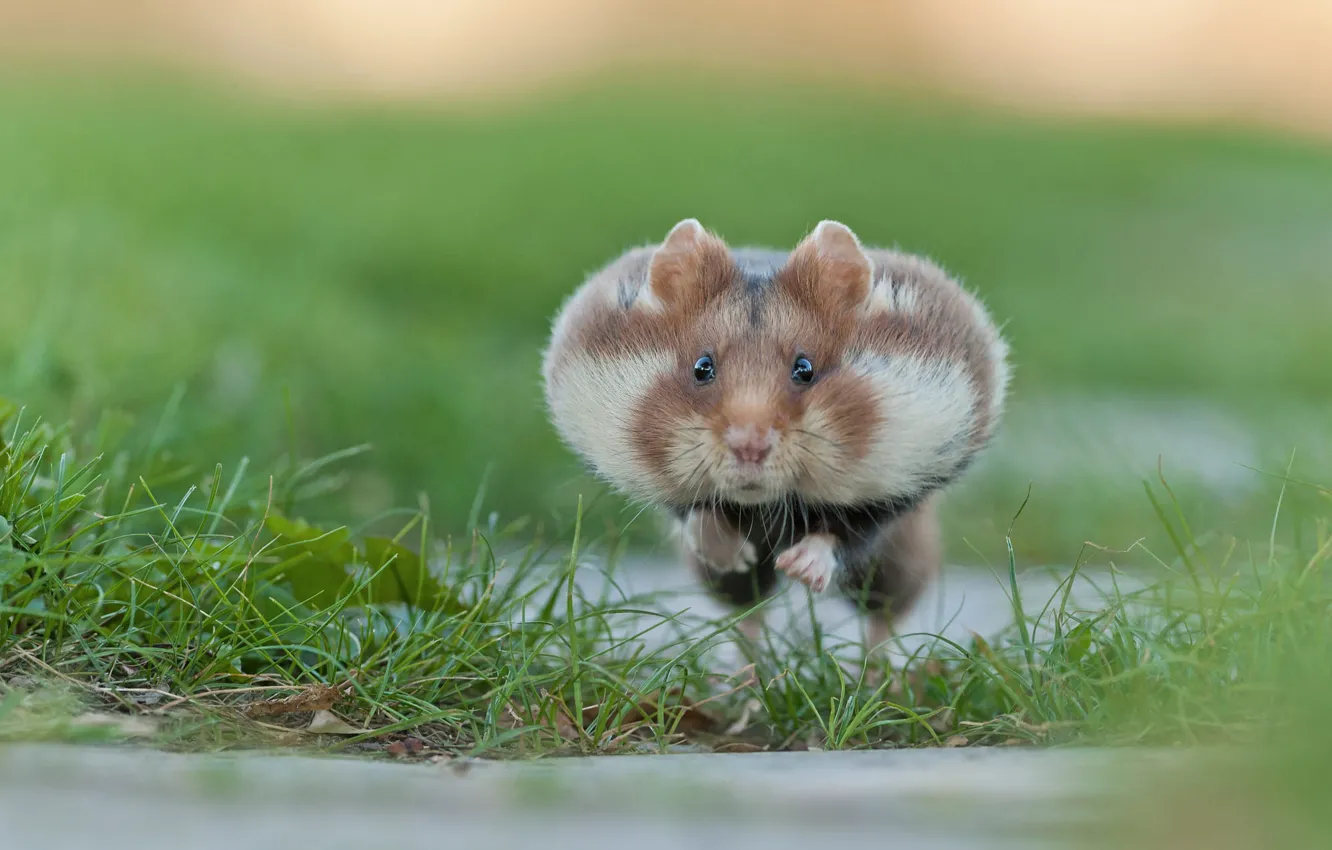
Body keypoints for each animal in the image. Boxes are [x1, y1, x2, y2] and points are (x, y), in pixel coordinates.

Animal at [541, 219, 1010, 649]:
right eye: (702, 367)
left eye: (805, 368)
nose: (749, 448)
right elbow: (697, 514)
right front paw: (734, 554)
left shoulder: (894, 491)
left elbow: (843, 533)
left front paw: (799, 569)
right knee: (748, 609)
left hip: (901, 557)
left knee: (885, 615)